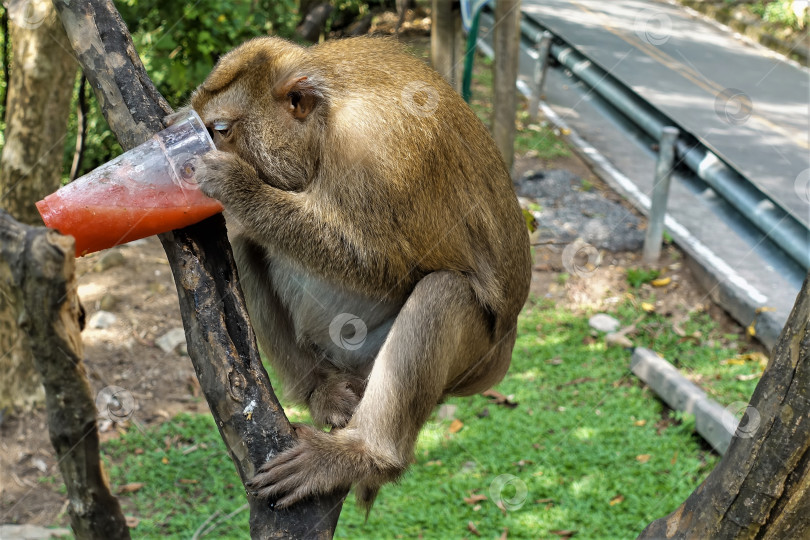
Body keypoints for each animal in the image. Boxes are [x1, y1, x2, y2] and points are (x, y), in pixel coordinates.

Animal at [182, 34, 532, 510]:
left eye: (220, 129)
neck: (327, 122)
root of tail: (505, 351)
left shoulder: (377, 140)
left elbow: (381, 262)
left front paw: (237, 187)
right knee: (249, 247)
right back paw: (323, 390)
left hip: (468, 360)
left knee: (443, 293)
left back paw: (364, 454)